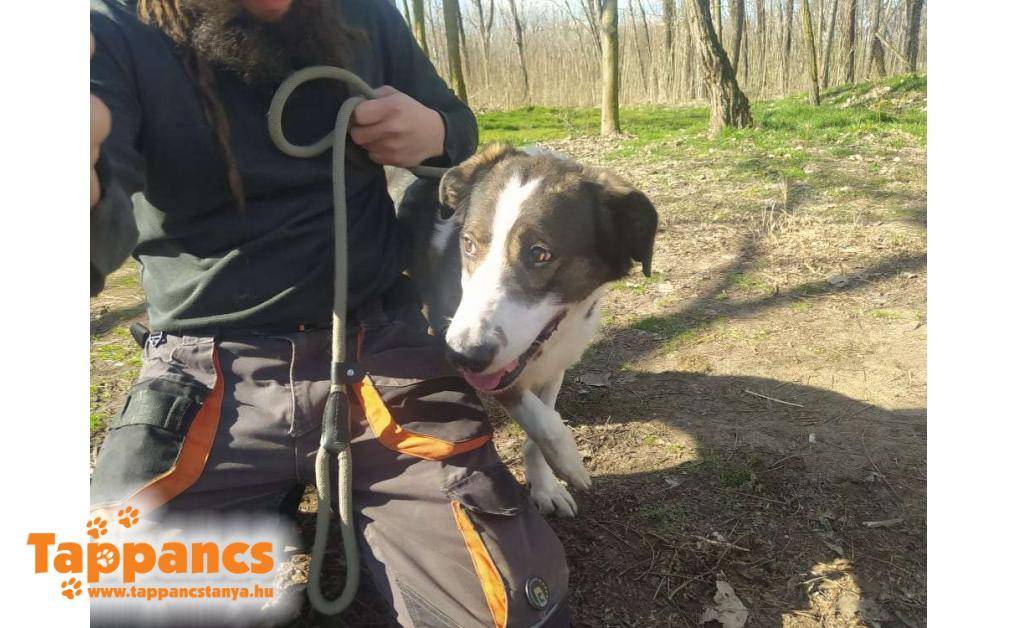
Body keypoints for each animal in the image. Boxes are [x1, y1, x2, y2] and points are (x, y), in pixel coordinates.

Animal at [393, 144, 658, 516]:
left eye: (540, 254)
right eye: (469, 244)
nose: (463, 357)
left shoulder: (552, 363)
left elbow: (541, 421)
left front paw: (545, 486)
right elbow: (541, 417)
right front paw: (569, 461)